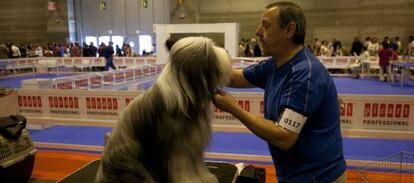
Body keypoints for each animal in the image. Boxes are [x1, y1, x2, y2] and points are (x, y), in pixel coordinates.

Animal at [96, 37, 233, 183]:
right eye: (210, 50)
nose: (227, 51)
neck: (185, 93)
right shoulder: (178, 145)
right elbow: (183, 166)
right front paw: (190, 180)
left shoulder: (195, 141)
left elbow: (198, 164)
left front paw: (206, 177)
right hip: (130, 156)